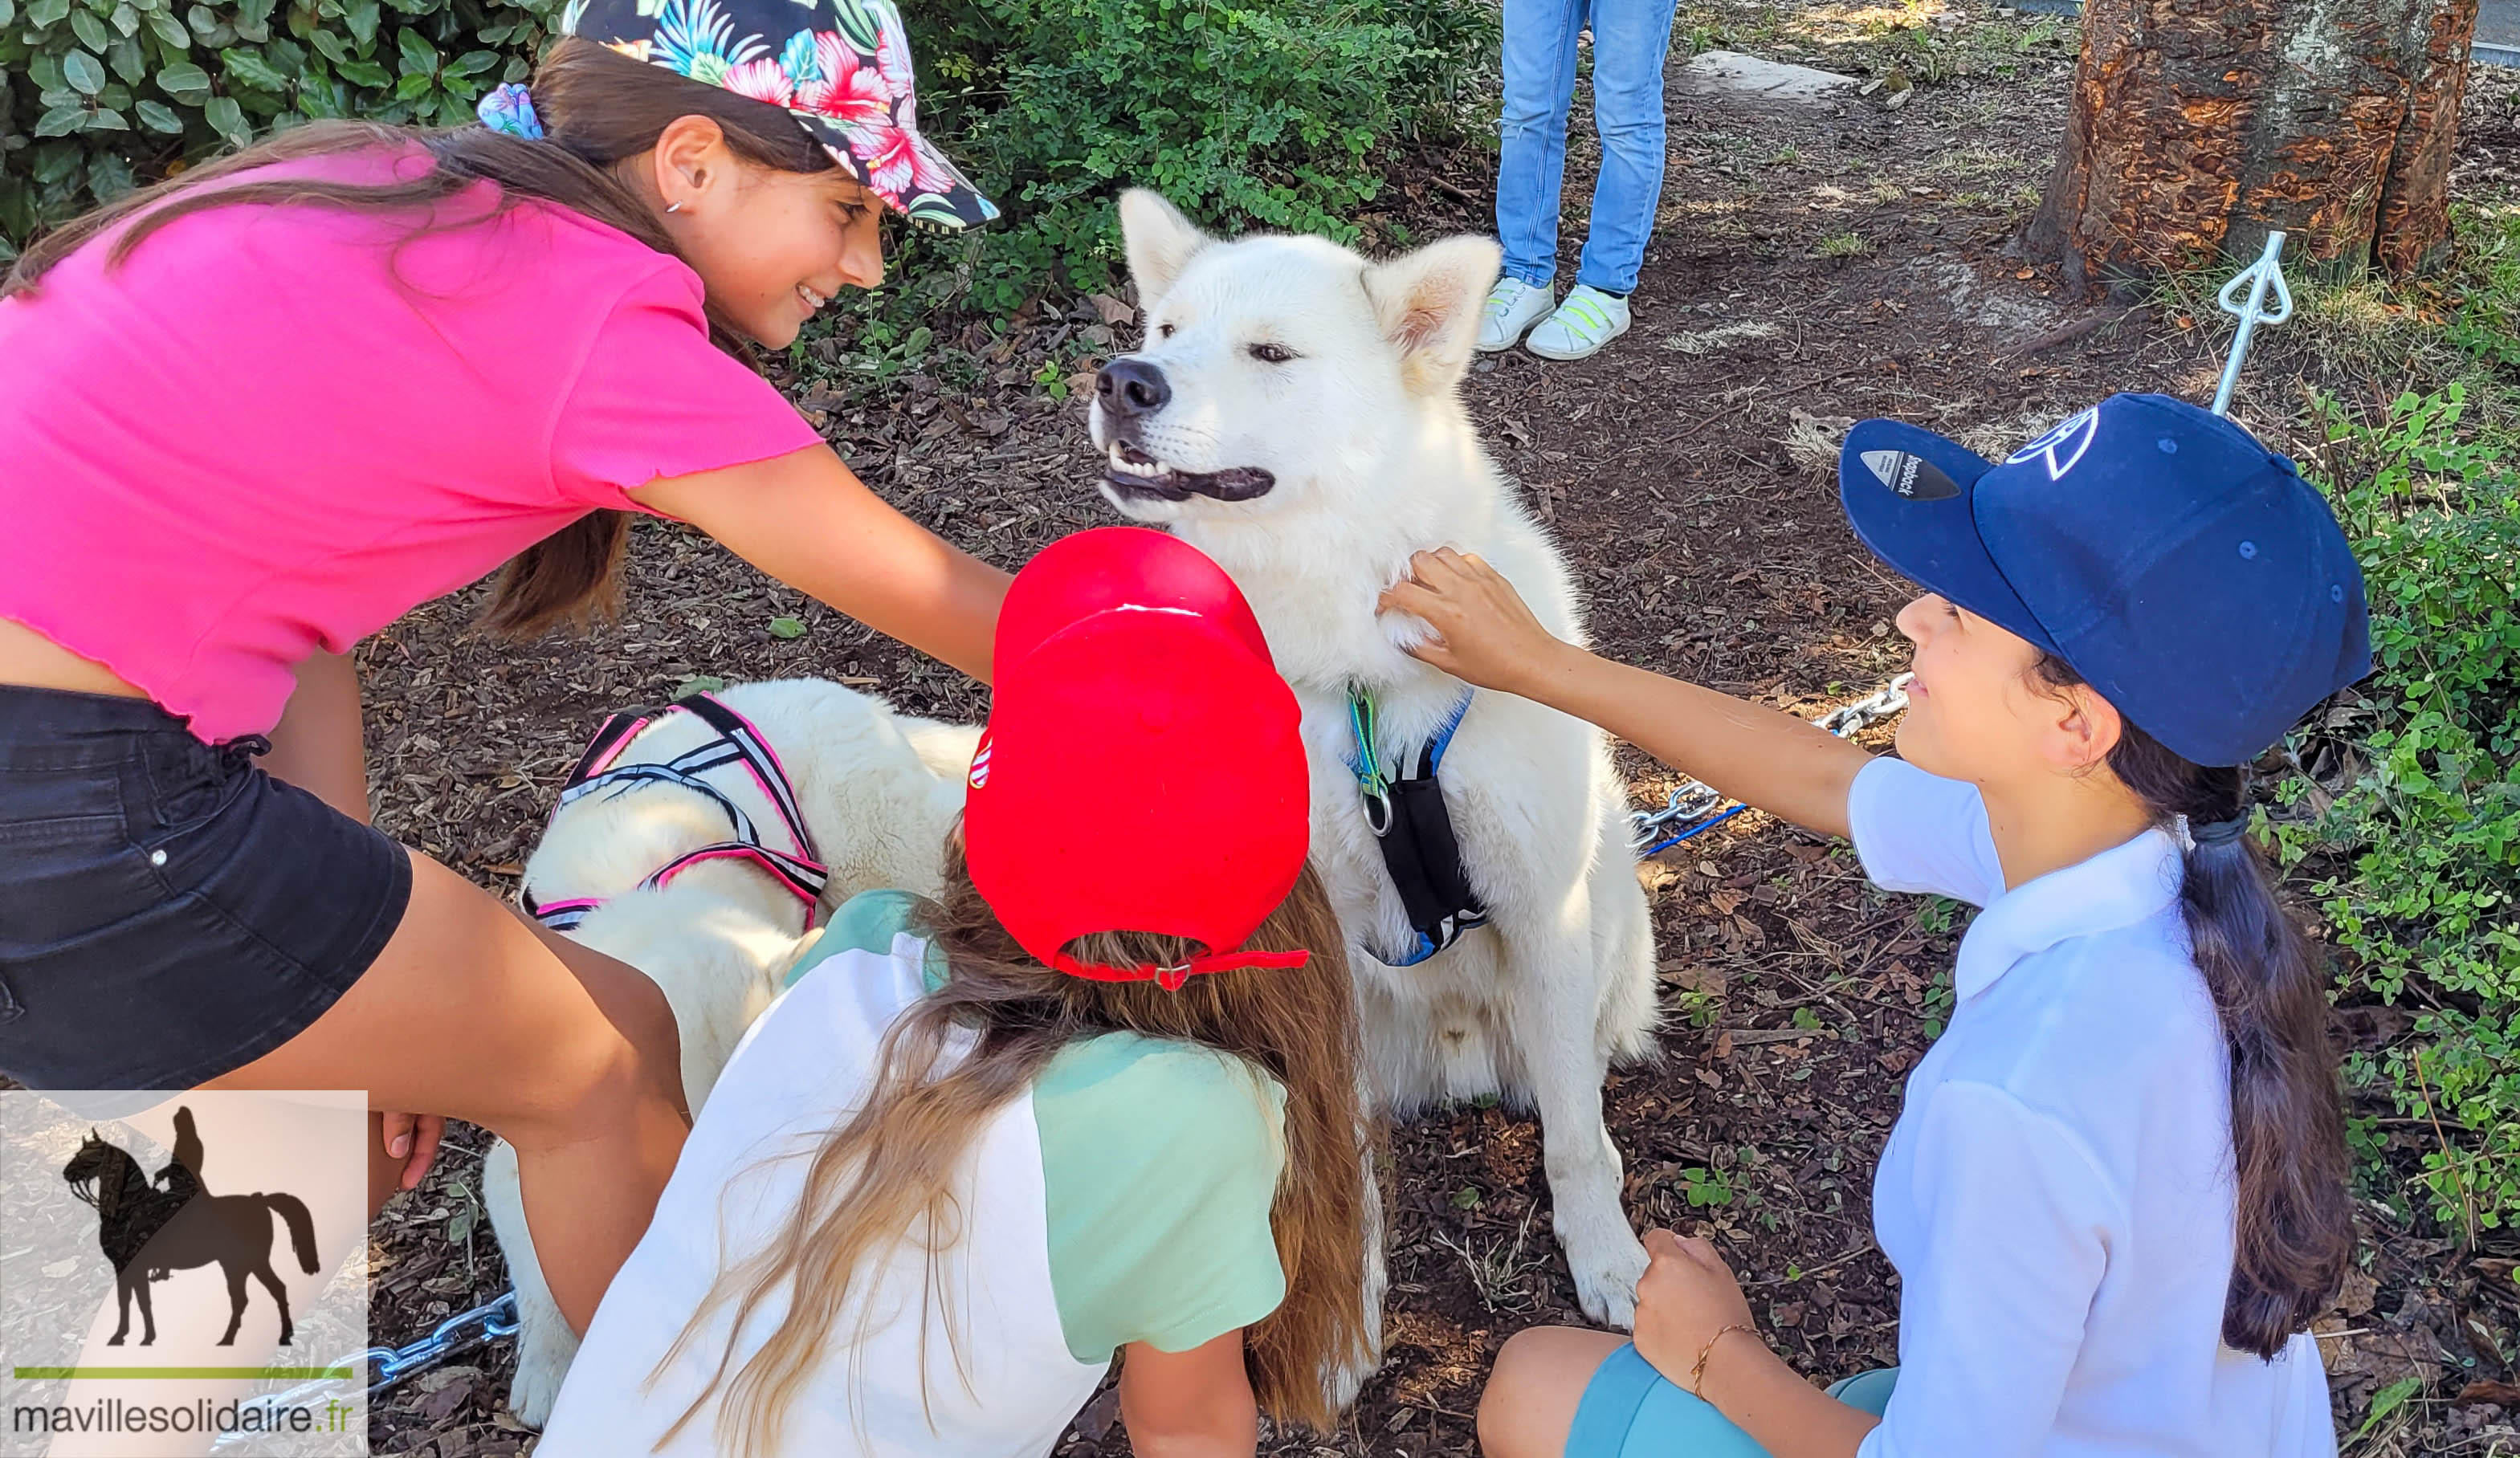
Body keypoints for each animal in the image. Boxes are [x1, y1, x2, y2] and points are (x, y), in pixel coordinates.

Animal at [1088, 191, 1663, 1319]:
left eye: (1270, 352)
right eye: (1164, 330)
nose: (1124, 381)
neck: (1354, 683)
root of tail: (1458, 1057)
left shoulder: (1543, 908)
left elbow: (1575, 1137)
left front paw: (1605, 1256)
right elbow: (1343, 1161)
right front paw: (1350, 1303)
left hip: (1606, 912)